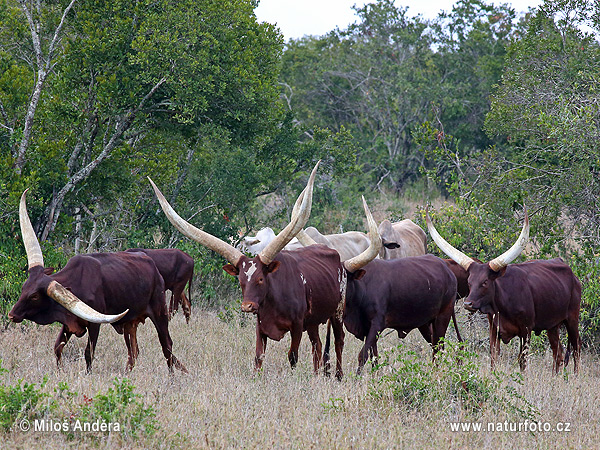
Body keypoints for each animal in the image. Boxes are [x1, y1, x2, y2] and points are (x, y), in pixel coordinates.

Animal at [8, 192, 185, 374]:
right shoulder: (70, 322)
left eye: (34, 296)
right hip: (130, 323)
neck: (76, 283)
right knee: (133, 352)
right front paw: (59, 371)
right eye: (23, 288)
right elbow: (57, 347)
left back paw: (172, 376)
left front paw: (87, 374)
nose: (12, 315)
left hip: (160, 311)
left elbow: (88, 353)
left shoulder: (94, 325)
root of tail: (153, 266)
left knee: (166, 345)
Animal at [426, 207, 580, 372]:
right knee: (558, 352)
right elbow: (494, 357)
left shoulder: (526, 330)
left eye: (485, 282)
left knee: (576, 348)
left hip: (572, 319)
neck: (502, 304)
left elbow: (522, 361)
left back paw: (575, 376)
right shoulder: (494, 329)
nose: (468, 304)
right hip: (553, 325)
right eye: (469, 281)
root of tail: (572, 273)